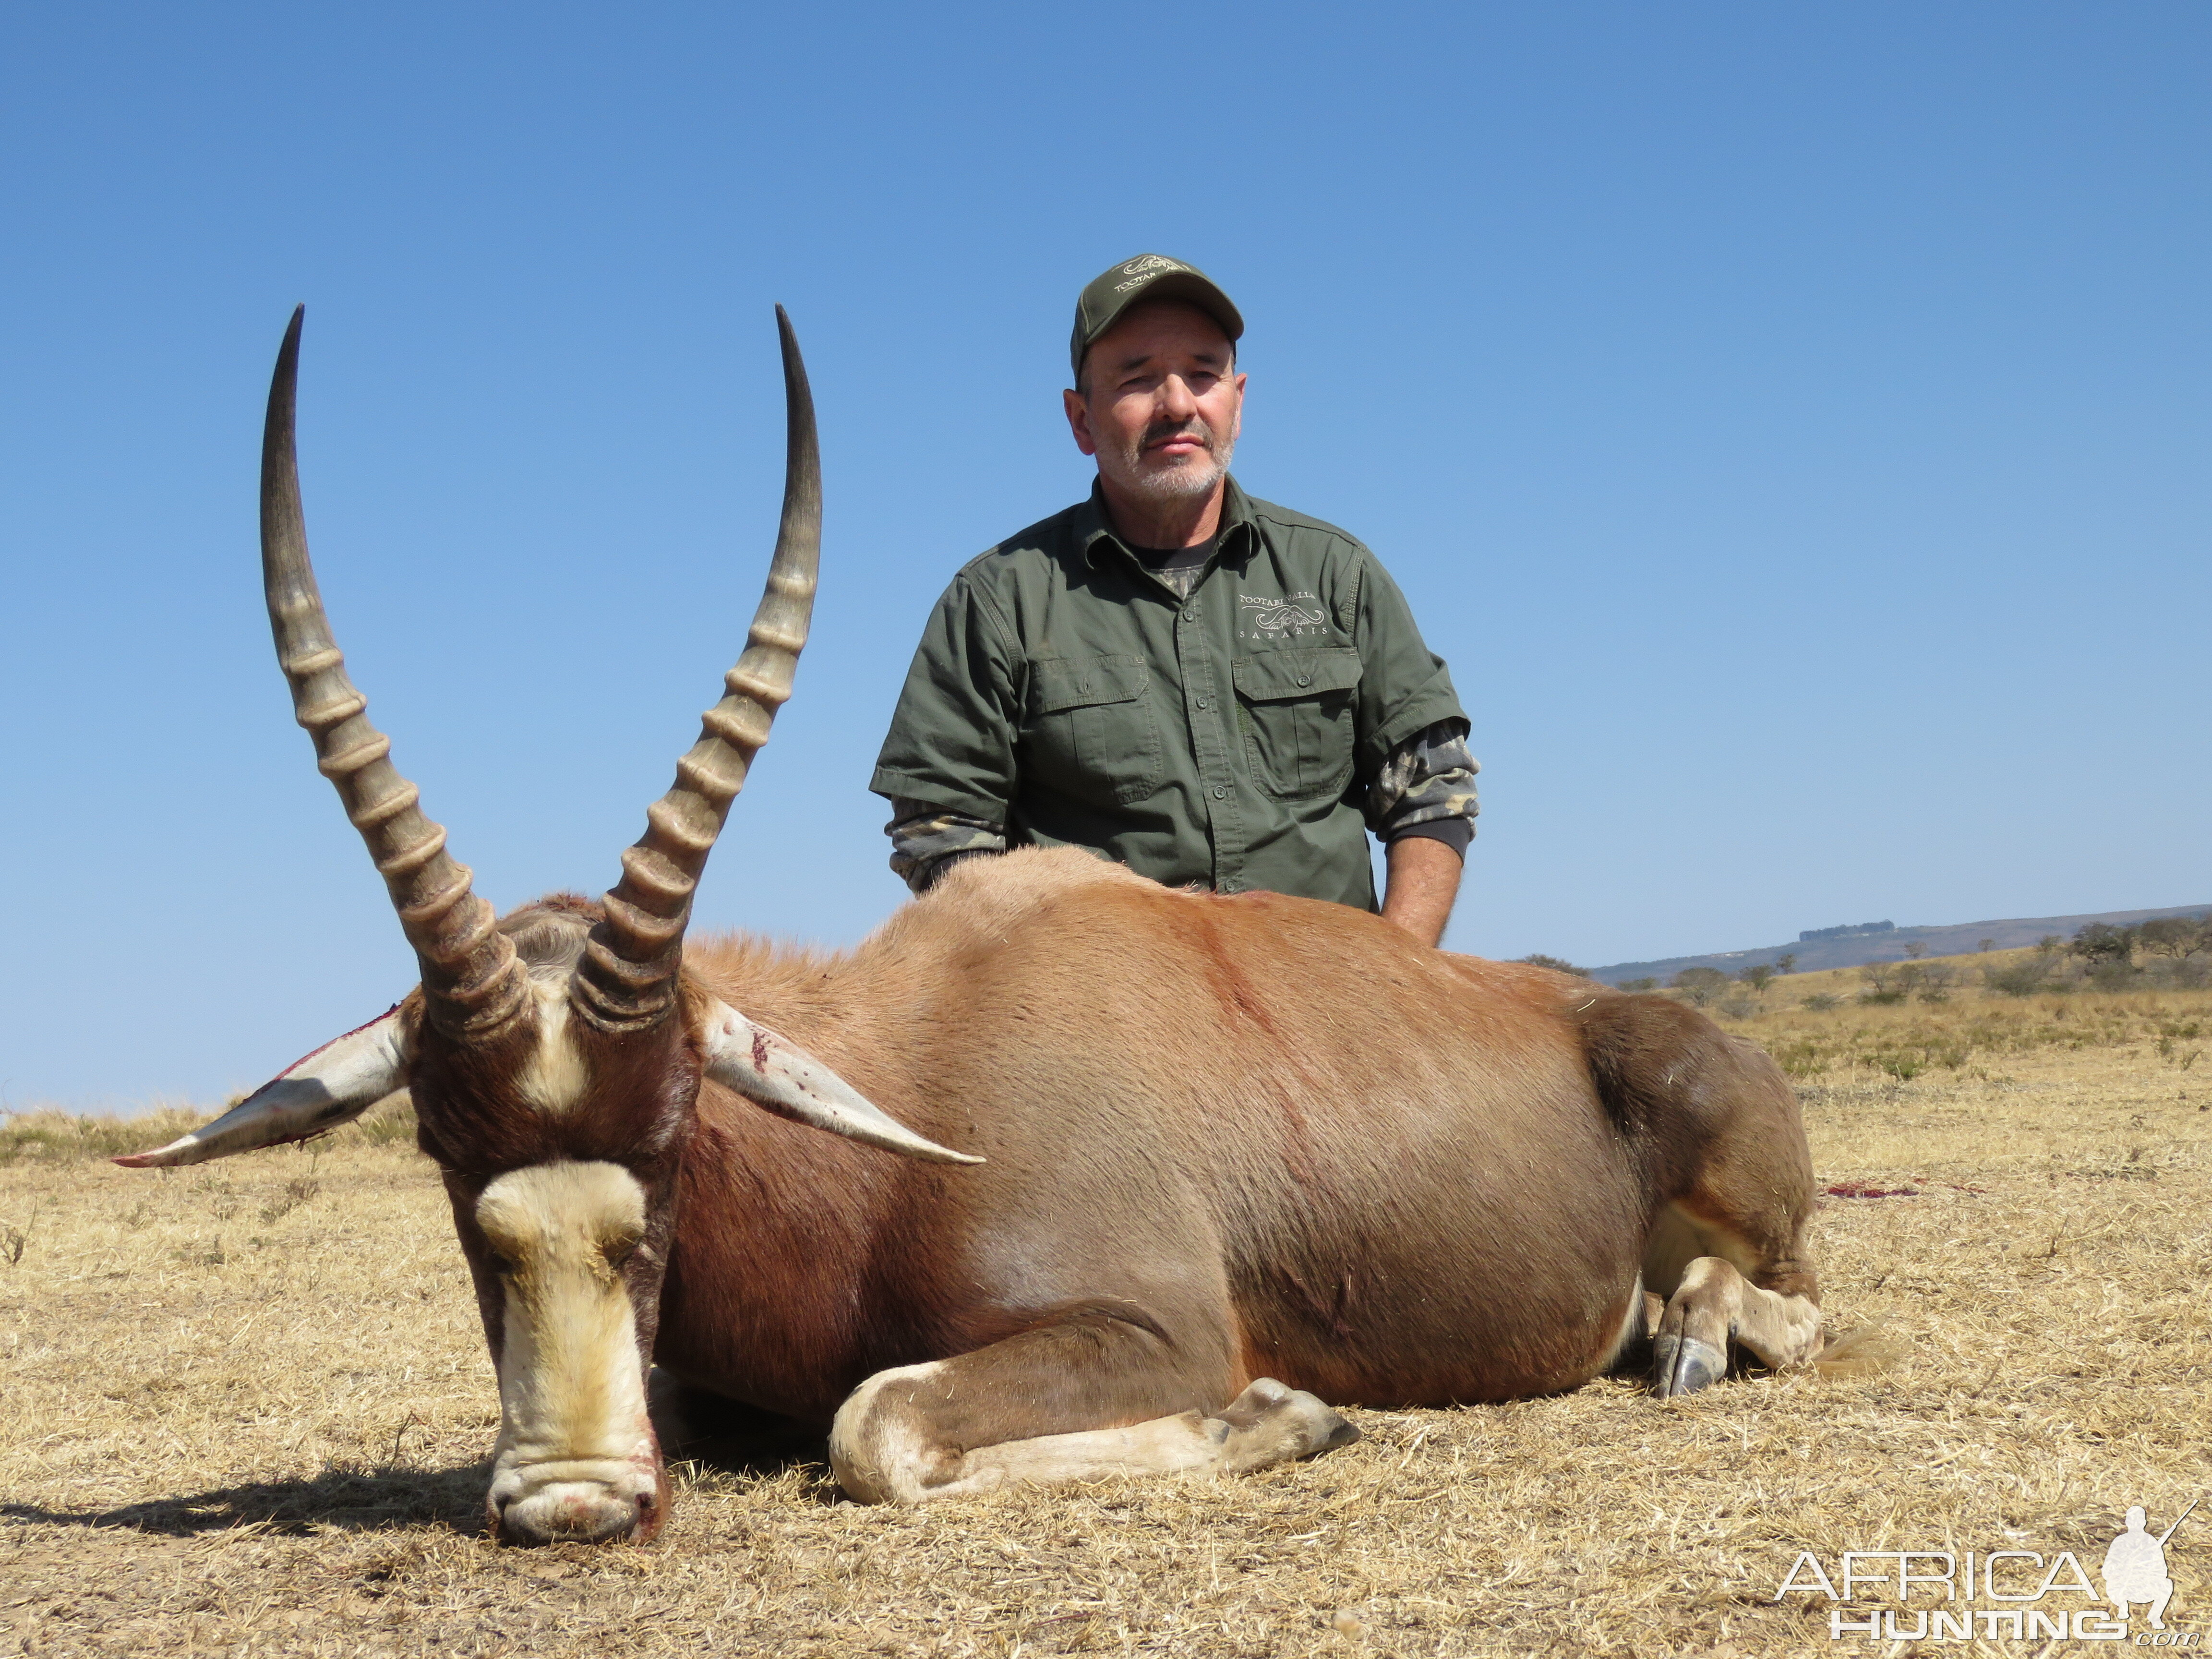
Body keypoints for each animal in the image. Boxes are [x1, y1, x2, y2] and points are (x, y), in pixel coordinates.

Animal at [117, 310, 1831, 1548]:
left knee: (1792, 1306)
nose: (574, 1506)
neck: (911, 1096)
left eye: (675, 1137)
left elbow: (872, 1426)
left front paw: (1284, 1415)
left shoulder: (1151, 1325)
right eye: (439, 1152)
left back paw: (1698, 1335)